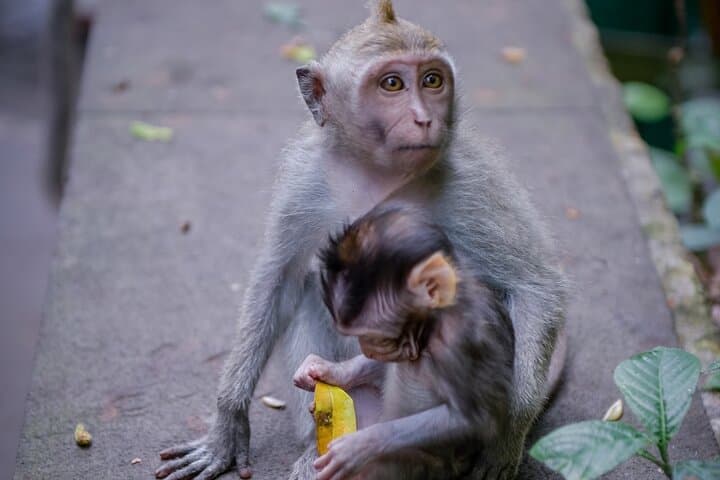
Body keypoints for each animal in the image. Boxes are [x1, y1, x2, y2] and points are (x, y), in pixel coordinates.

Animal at [292, 202, 516, 480]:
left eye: (373, 335)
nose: (366, 347)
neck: (434, 326)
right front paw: (325, 369)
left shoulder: (464, 341)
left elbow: (474, 421)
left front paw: (360, 446)